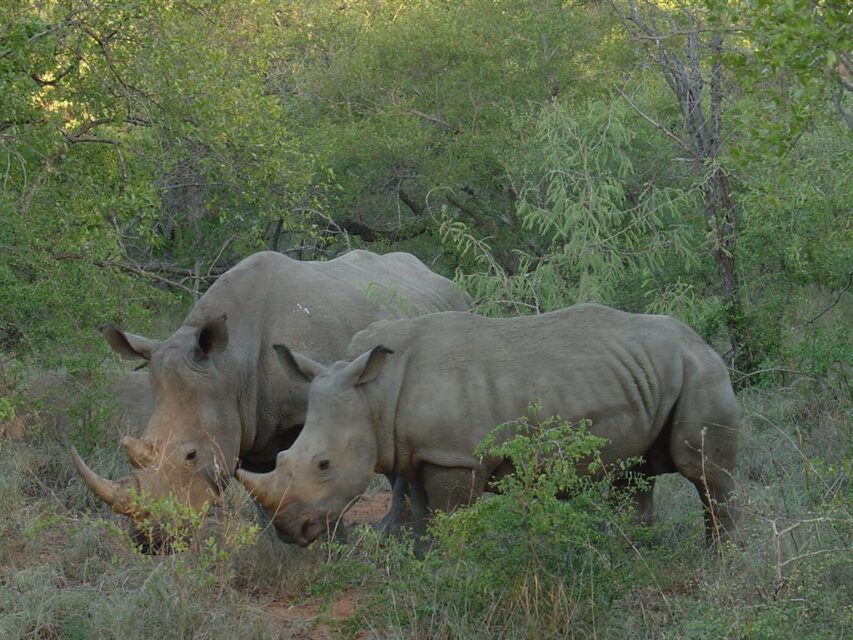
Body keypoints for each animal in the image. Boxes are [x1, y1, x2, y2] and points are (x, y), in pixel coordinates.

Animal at [71, 250, 470, 546]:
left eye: (191, 455)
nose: (150, 540)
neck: (230, 367)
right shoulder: (250, 423)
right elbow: (263, 484)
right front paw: (271, 543)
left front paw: (331, 543)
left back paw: (391, 533)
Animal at [237, 304, 739, 547]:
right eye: (281, 456)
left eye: (323, 465)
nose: (289, 532)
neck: (375, 394)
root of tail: (702, 340)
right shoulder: (420, 453)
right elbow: (422, 519)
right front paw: (424, 566)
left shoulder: (455, 458)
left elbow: (449, 520)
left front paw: (453, 570)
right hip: (649, 372)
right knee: (632, 475)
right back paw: (632, 553)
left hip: (701, 370)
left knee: (704, 474)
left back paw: (718, 559)